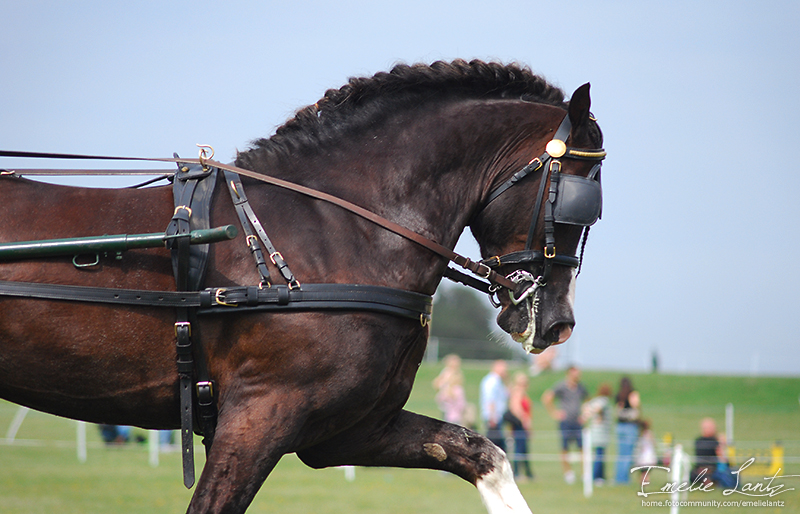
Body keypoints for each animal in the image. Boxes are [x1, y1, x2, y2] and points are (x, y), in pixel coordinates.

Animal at [0, 58, 600, 510]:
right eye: (578, 198)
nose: (559, 323)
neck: (335, 233)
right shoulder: (259, 415)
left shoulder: (346, 430)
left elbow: (481, 453)